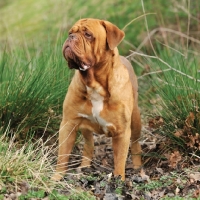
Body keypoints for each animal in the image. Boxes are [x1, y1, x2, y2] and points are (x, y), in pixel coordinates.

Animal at [52, 18, 142, 181]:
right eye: (70, 32)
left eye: (88, 35)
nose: (71, 37)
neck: (94, 84)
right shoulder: (68, 124)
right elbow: (63, 155)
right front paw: (56, 178)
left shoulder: (121, 132)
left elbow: (120, 160)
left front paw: (119, 180)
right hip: (84, 127)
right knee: (89, 144)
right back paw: (84, 167)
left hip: (136, 119)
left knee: (136, 143)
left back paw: (138, 167)